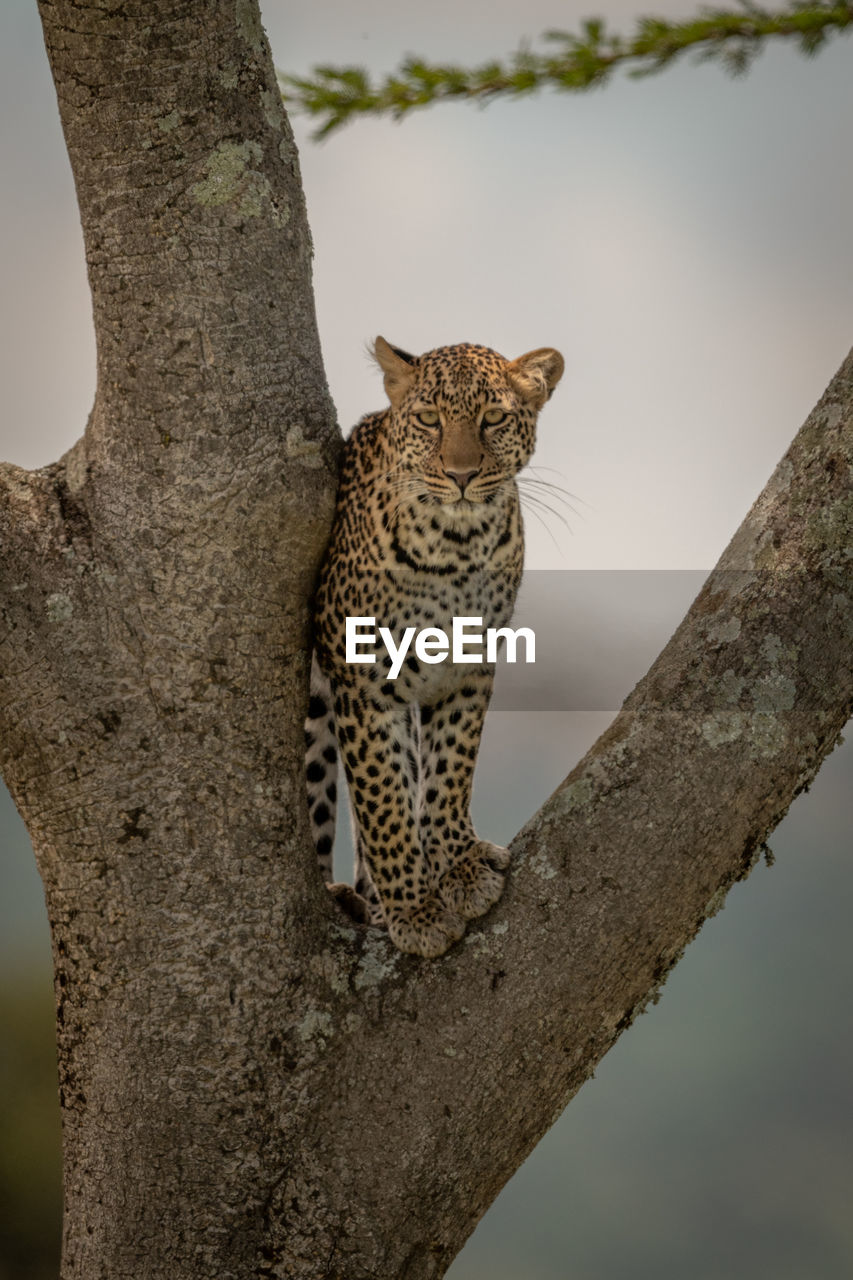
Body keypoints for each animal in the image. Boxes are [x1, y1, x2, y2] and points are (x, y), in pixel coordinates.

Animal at [302, 335, 560, 957]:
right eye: (428, 419)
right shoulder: (363, 683)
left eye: (493, 419)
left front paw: (460, 867)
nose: (461, 475)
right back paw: (348, 899)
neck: (456, 546)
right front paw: (415, 911)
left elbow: (448, 772)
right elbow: (382, 806)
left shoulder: (469, 667)